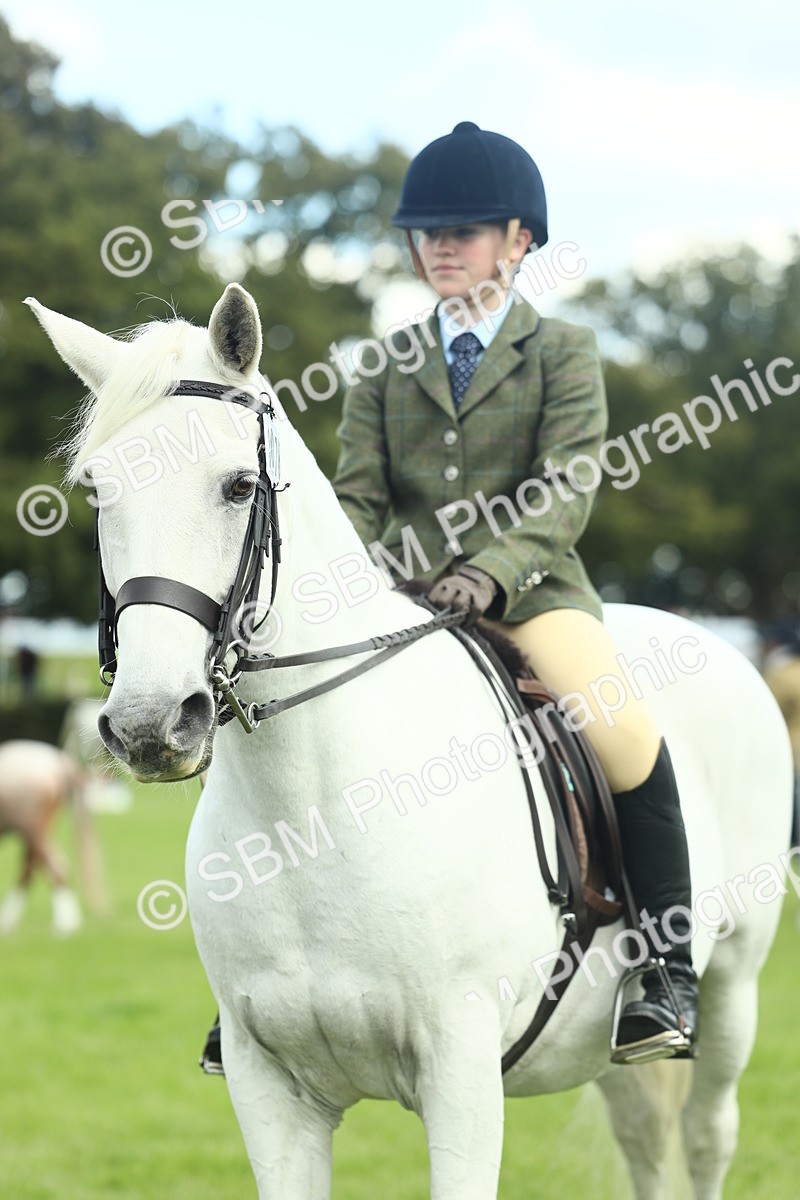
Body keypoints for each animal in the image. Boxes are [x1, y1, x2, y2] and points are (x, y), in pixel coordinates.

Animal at [0, 738, 107, 933]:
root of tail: (59, 763)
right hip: (36, 831)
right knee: (31, 868)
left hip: (32, 827)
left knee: (54, 867)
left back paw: (65, 926)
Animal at [27, 284, 794, 1199]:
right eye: (98, 493)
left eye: (240, 486)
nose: (148, 725)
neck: (310, 810)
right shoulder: (267, 1087)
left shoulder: (460, 1075)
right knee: (646, 1138)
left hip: (733, 993)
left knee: (707, 1136)